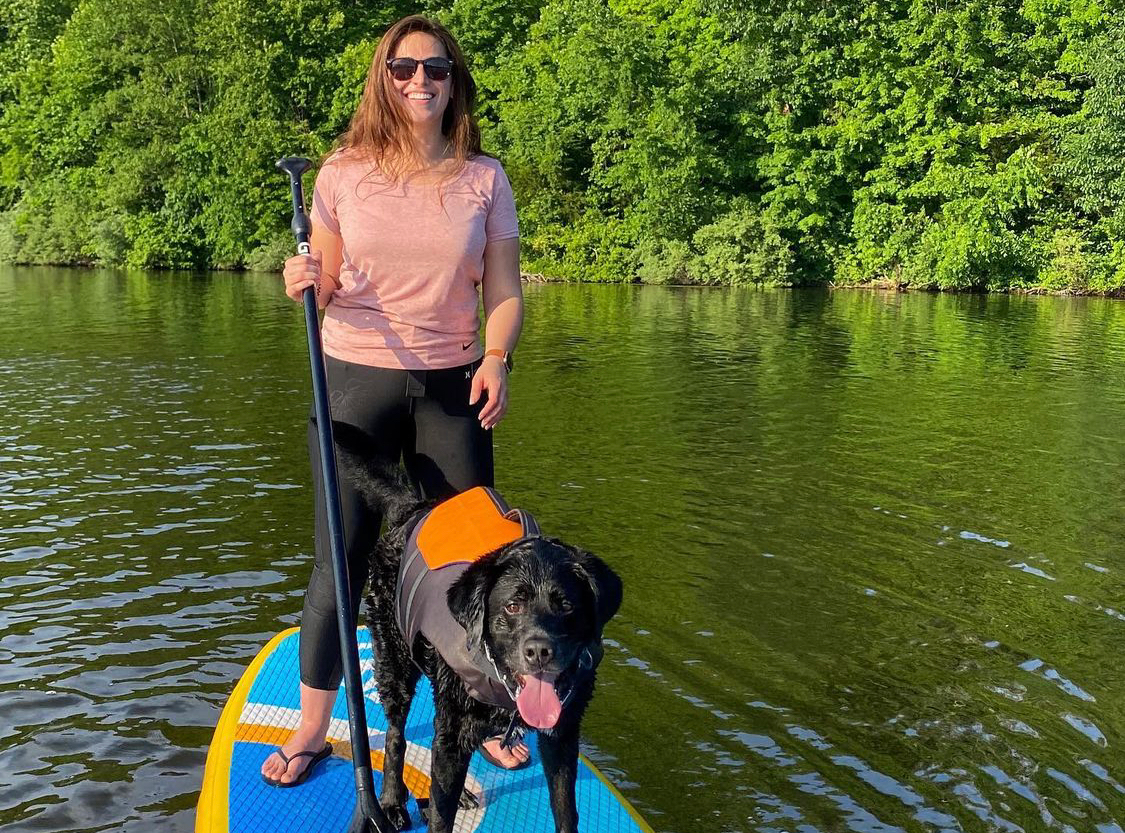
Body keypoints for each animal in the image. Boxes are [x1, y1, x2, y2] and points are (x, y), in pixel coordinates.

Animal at [344, 454, 625, 833]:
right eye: (512, 605)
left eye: (566, 605)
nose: (539, 652)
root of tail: (413, 509)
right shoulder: (452, 732)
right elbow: (441, 817)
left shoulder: (562, 736)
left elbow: (566, 809)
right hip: (394, 662)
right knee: (395, 735)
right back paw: (389, 802)